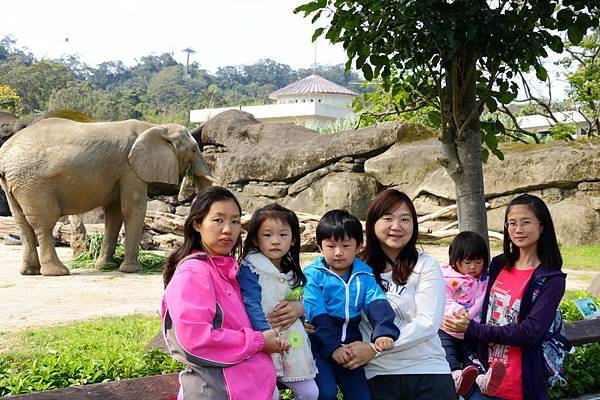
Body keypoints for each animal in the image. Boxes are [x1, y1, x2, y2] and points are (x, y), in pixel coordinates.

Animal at [0, 117, 213, 276]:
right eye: (194, 149)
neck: (156, 127)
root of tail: (4, 155)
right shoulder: (131, 169)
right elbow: (133, 208)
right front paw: (133, 270)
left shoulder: (122, 171)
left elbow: (114, 213)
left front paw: (105, 267)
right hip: (34, 185)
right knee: (44, 223)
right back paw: (57, 272)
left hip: (16, 183)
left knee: (22, 223)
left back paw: (30, 272)